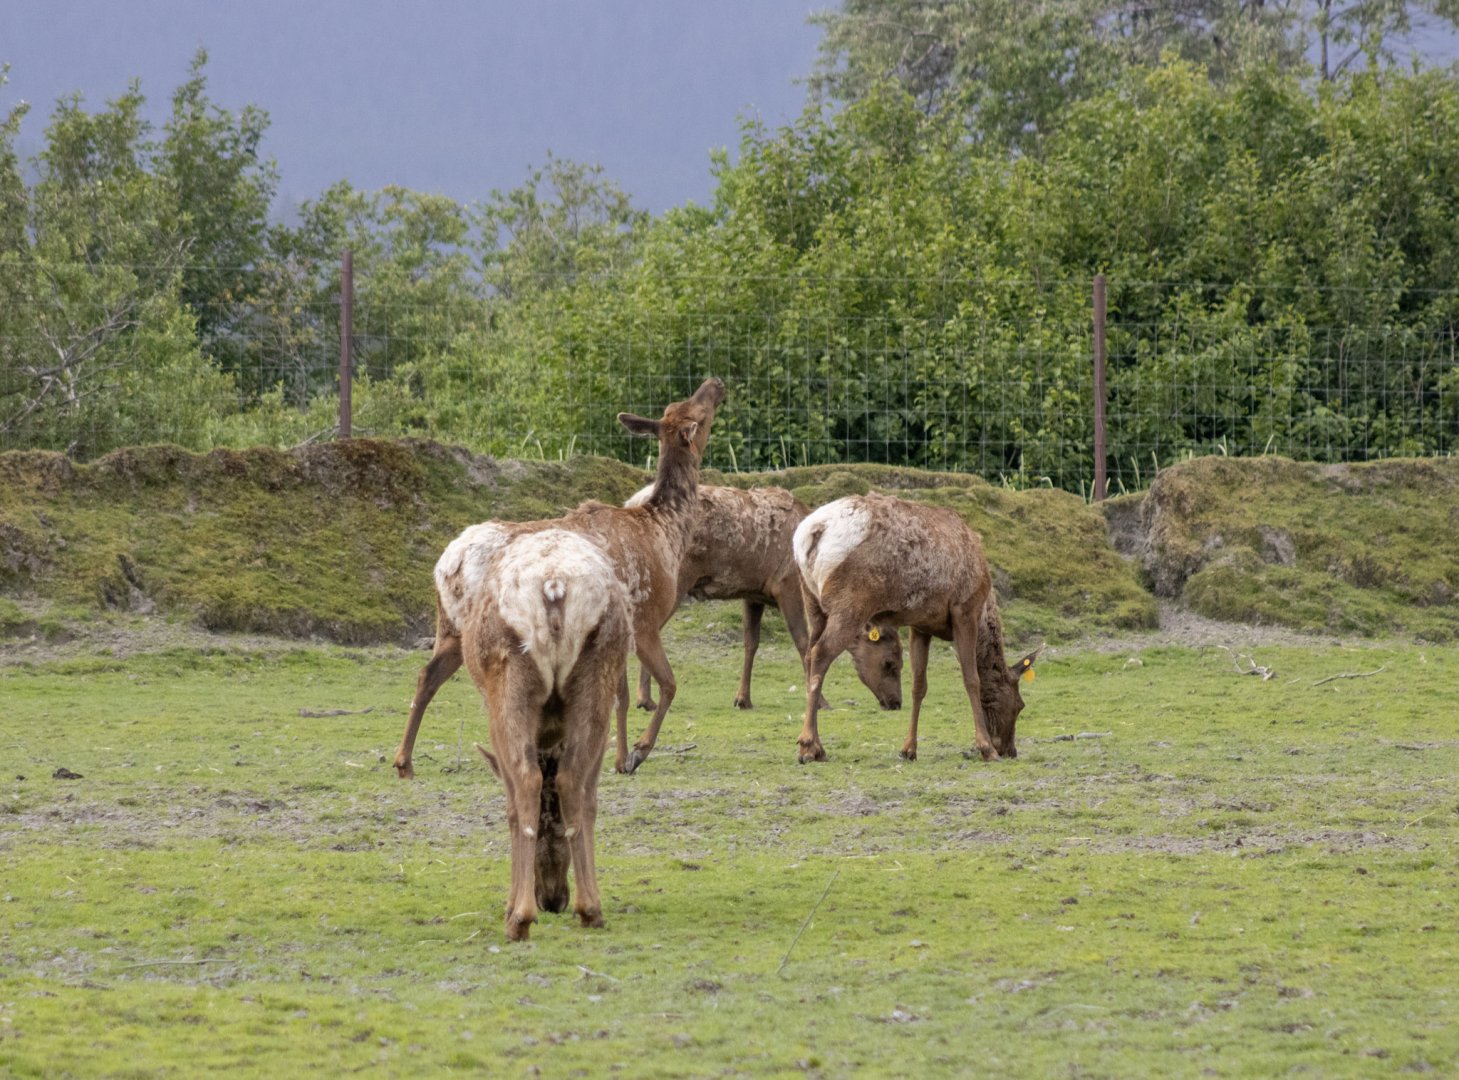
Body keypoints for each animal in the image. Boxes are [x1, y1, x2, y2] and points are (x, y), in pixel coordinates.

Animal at [392, 376, 726, 781]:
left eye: (678, 405)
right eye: (697, 413)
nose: (716, 382)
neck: (665, 534)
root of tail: (447, 563)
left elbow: (619, 695)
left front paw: (618, 757)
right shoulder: (645, 619)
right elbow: (667, 685)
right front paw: (636, 753)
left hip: (450, 627)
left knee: (426, 675)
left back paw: (404, 762)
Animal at [459, 528, 631, 940]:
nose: (553, 900)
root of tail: (554, 585)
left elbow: (509, 804)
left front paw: (510, 904)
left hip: (509, 677)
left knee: (526, 779)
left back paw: (520, 918)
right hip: (598, 670)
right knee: (573, 781)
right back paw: (591, 909)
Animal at [624, 483, 904, 713]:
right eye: (890, 663)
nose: (896, 703)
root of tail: (630, 503)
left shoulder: (753, 593)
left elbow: (751, 642)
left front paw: (743, 699)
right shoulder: (787, 584)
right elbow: (804, 642)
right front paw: (821, 701)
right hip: (677, 580)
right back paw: (644, 699)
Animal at [791, 492, 1043, 764]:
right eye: (1019, 705)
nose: (1010, 750)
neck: (985, 605)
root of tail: (813, 531)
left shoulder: (921, 624)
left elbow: (918, 686)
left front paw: (908, 749)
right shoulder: (964, 609)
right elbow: (971, 679)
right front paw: (986, 748)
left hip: (812, 603)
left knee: (809, 654)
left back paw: (818, 747)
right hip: (851, 603)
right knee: (820, 655)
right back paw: (807, 746)